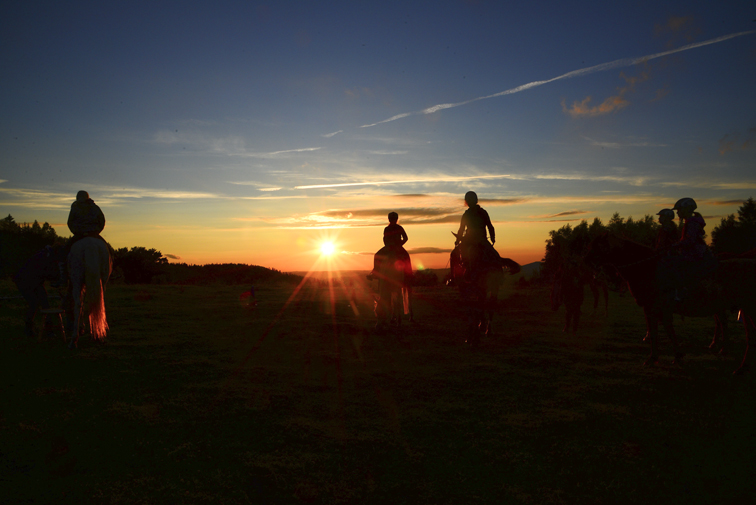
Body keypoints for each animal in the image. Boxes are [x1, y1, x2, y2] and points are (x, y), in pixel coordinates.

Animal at [587, 233, 755, 373]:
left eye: (596, 247)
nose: (587, 263)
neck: (648, 268)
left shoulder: (656, 308)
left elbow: (661, 331)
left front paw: (664, 357)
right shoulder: (654, 309)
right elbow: (660, 331)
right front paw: (665, 356)